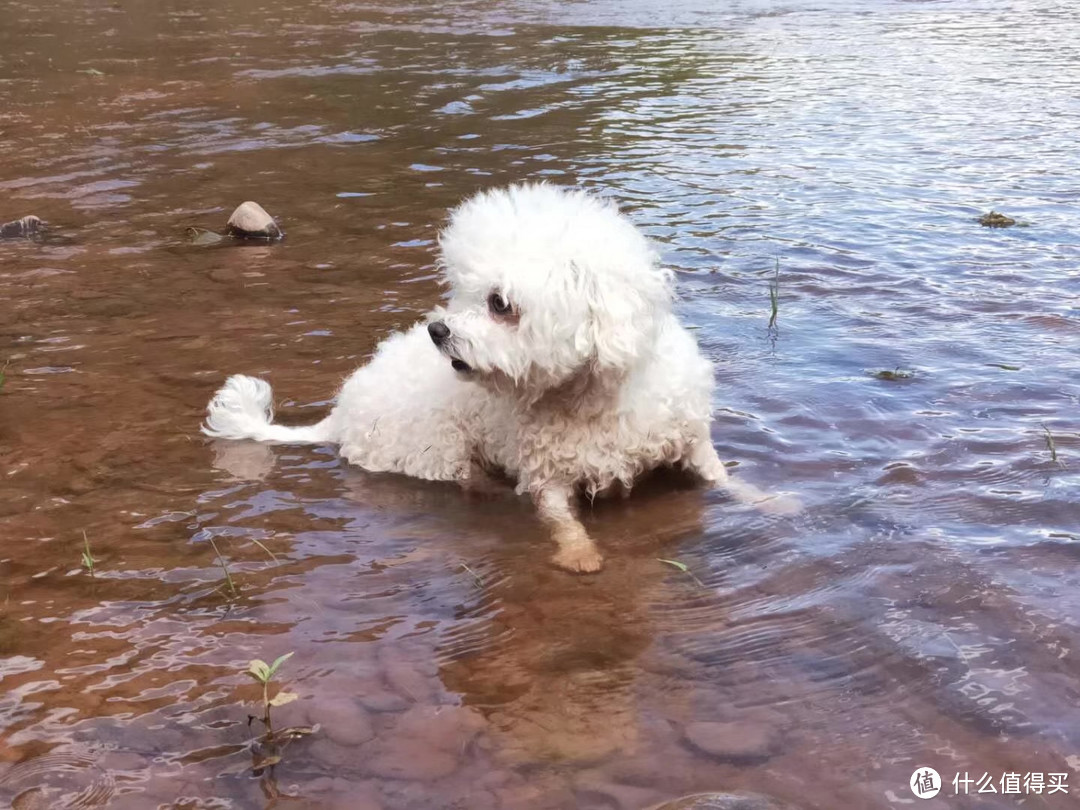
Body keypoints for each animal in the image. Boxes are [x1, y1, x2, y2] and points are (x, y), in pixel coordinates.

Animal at [203, 186, 794, 574]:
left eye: (499, 304)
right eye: (463, 291)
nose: (438, 330)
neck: (590, 394)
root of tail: (341, 414)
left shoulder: (688, 439)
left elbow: (723, 479)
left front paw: (772, 503)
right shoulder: (546, 475)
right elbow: (560, 520)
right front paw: (580, 555)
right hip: (438, 451)